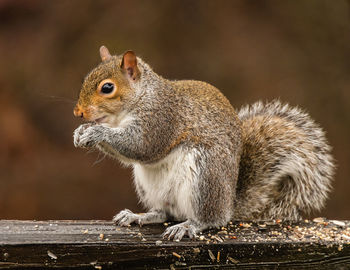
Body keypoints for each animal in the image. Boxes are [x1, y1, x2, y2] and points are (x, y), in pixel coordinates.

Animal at [72, 46, 334, 240]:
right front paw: (80, 132)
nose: (78, 113)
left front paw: (96, 132)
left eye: (107, 87)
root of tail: (229, 204)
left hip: (205, 177)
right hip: (149, 186)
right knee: (164, 212)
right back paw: (139, 216)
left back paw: (189, 226)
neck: (142, 96)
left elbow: (142, 146)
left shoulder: (162, 119)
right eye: (85, 79)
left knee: (210, 219)